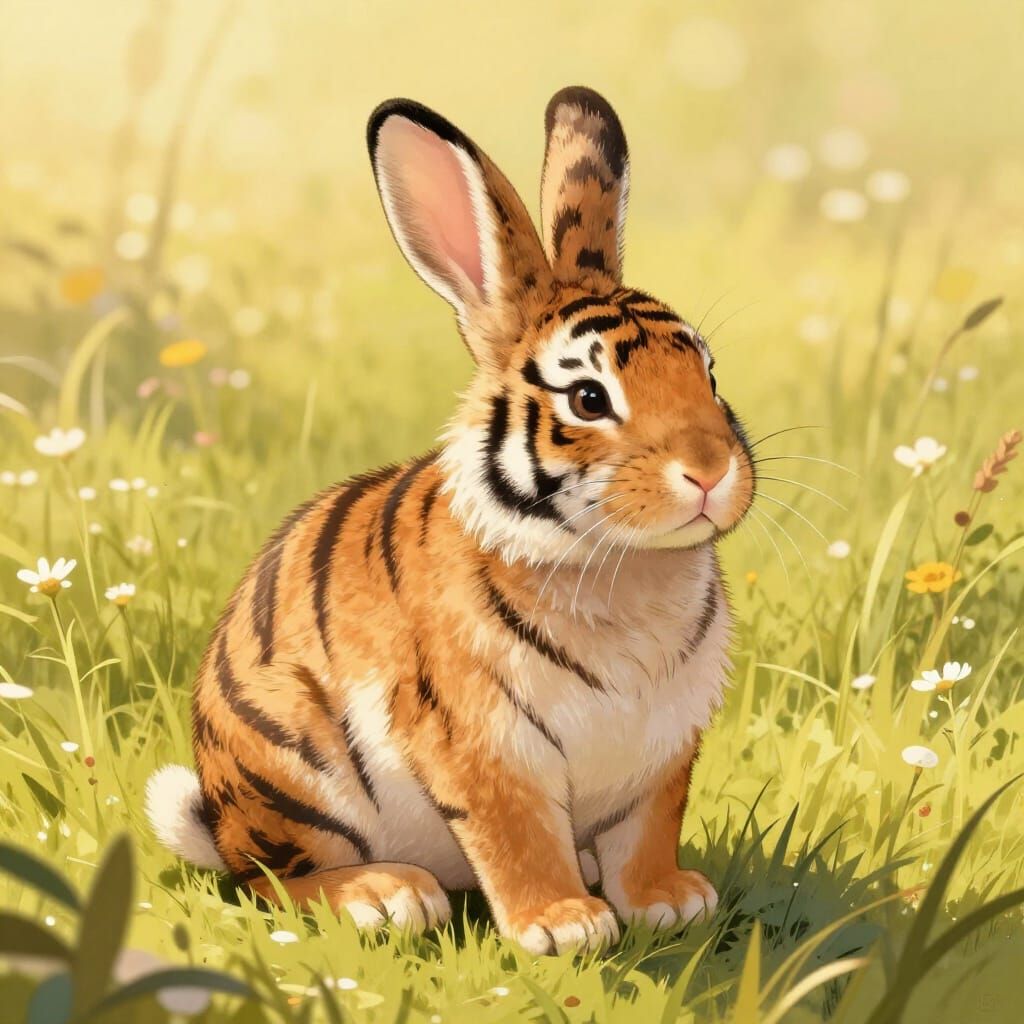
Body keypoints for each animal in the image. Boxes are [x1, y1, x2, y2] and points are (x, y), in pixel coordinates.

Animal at [147, 86, 755, 956]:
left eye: (708, 373)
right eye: (588, 398)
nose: (711, 470)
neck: (625, 564)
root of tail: (220, 815)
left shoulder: (663, 750)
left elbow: (647, 830)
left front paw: (668, 903)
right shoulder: (480, 740)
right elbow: (516, 834)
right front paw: (563, 925)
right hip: (296, 761)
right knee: (272, 878)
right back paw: (388, 897)